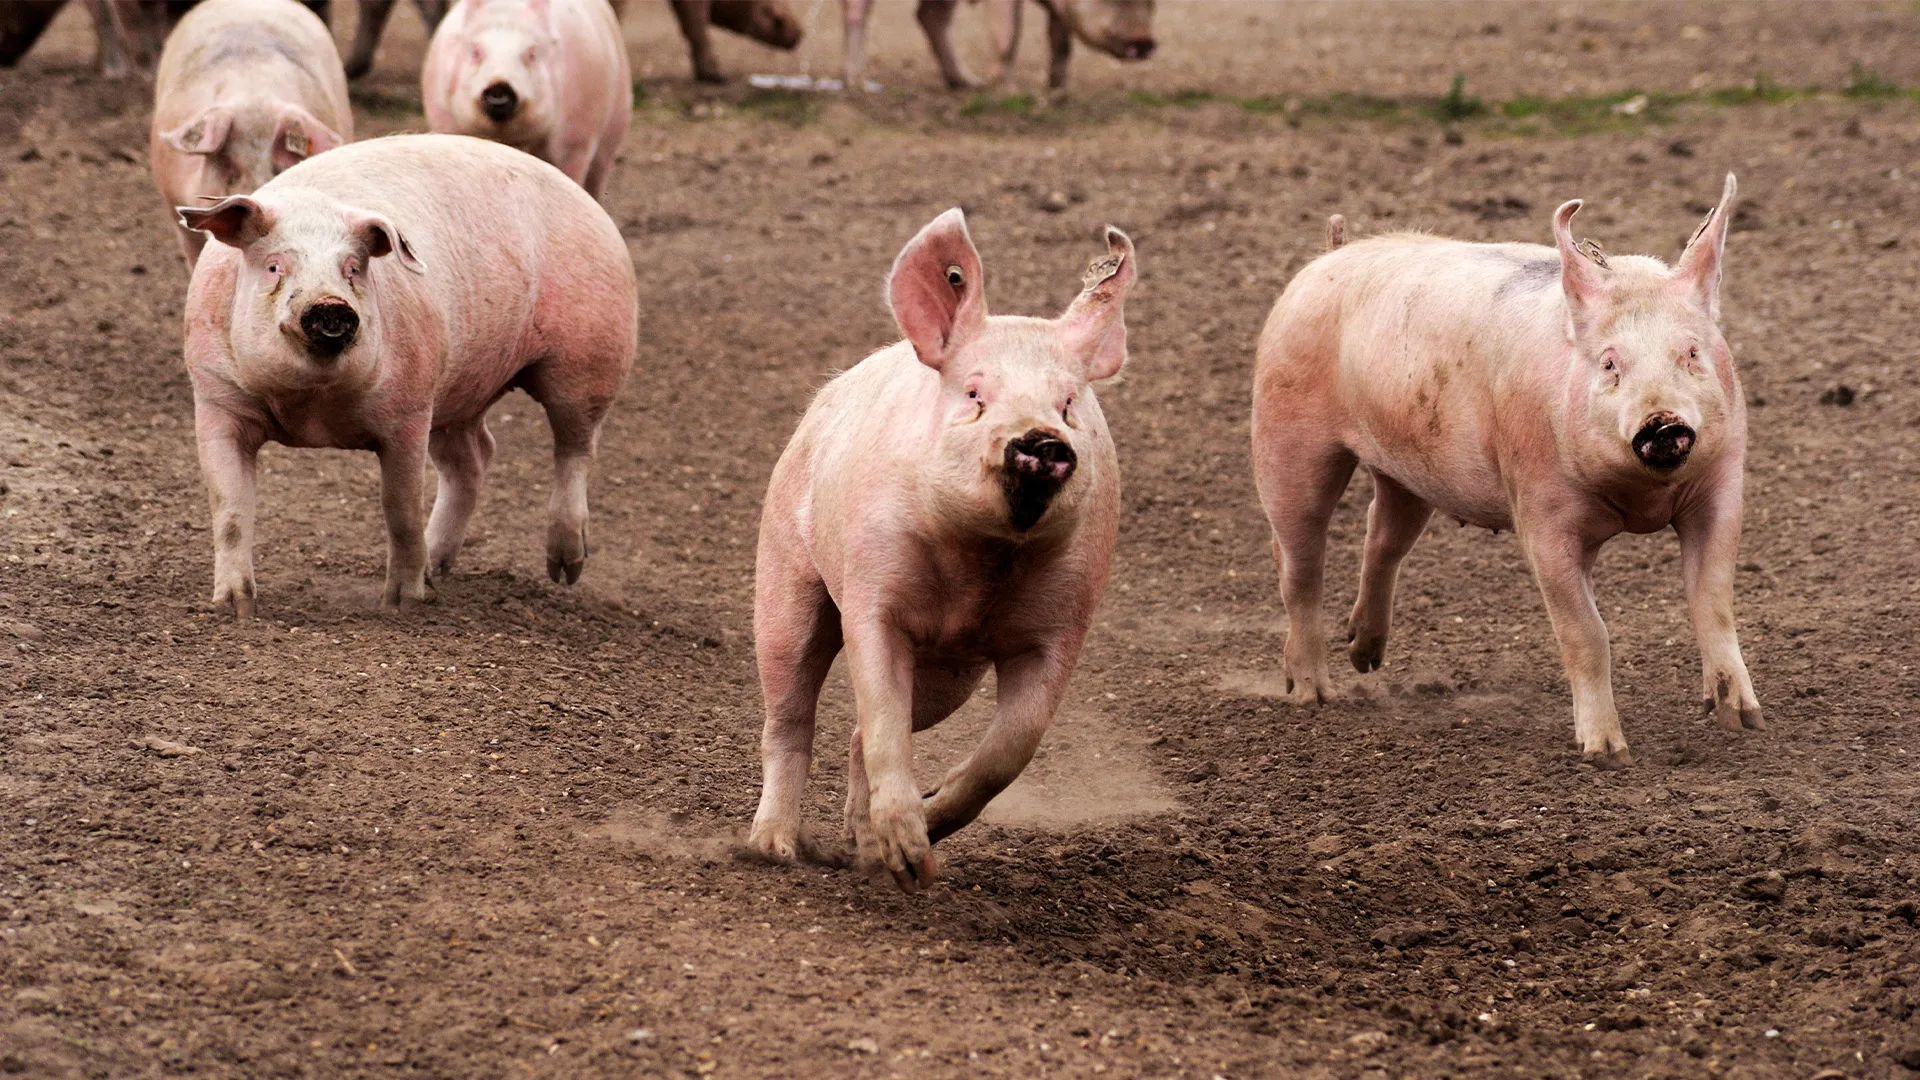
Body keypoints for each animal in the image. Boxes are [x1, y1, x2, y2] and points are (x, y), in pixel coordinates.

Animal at [178, 133, 637, 617]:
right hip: (457, 393)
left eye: (353, 268)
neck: (312, 408)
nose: (330, 305)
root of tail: (590, 203)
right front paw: (233, 607)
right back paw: (437, 568)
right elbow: (230, 507)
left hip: (589, 358)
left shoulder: (409, 409)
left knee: (575, 448)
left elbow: (400, 508)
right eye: (274, 267)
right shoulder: (217, 401)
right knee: (475, 458)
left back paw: (564, 568)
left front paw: (401, 605)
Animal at [421, 0, 630, 199]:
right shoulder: (444, 121)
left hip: (616, 121)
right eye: (476, 52)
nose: (499, 88)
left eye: (532, 53)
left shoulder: (577, 137)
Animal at [747, 209, 1137, 891]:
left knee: (861, 734)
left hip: (948, 679)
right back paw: (773, 849)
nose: (1042, 440)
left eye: (1069, 405)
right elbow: (881, 715)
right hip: (785, 570)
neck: (978, 572)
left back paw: (862, 853)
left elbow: (1012, 747)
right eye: (976, 394)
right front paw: (912, 861)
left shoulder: (1062, 626)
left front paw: (922, 850)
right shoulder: (873, 597)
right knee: (791, 714)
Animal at [1250, 175, 1759, 767]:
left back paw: (1365, 655)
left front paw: (1744, 720)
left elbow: (1713, 601)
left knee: (1381, 535)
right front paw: (1607, 753)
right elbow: (1586, 632)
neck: (1642, 501)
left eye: (1692, 353)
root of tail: (1331, 253)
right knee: (1298, 563)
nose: (1662, 422)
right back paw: (1314, 695)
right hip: (1286, 436)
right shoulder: (1539, 510)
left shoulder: (1721, 488)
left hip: (1409, 471)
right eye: (1609, 363)